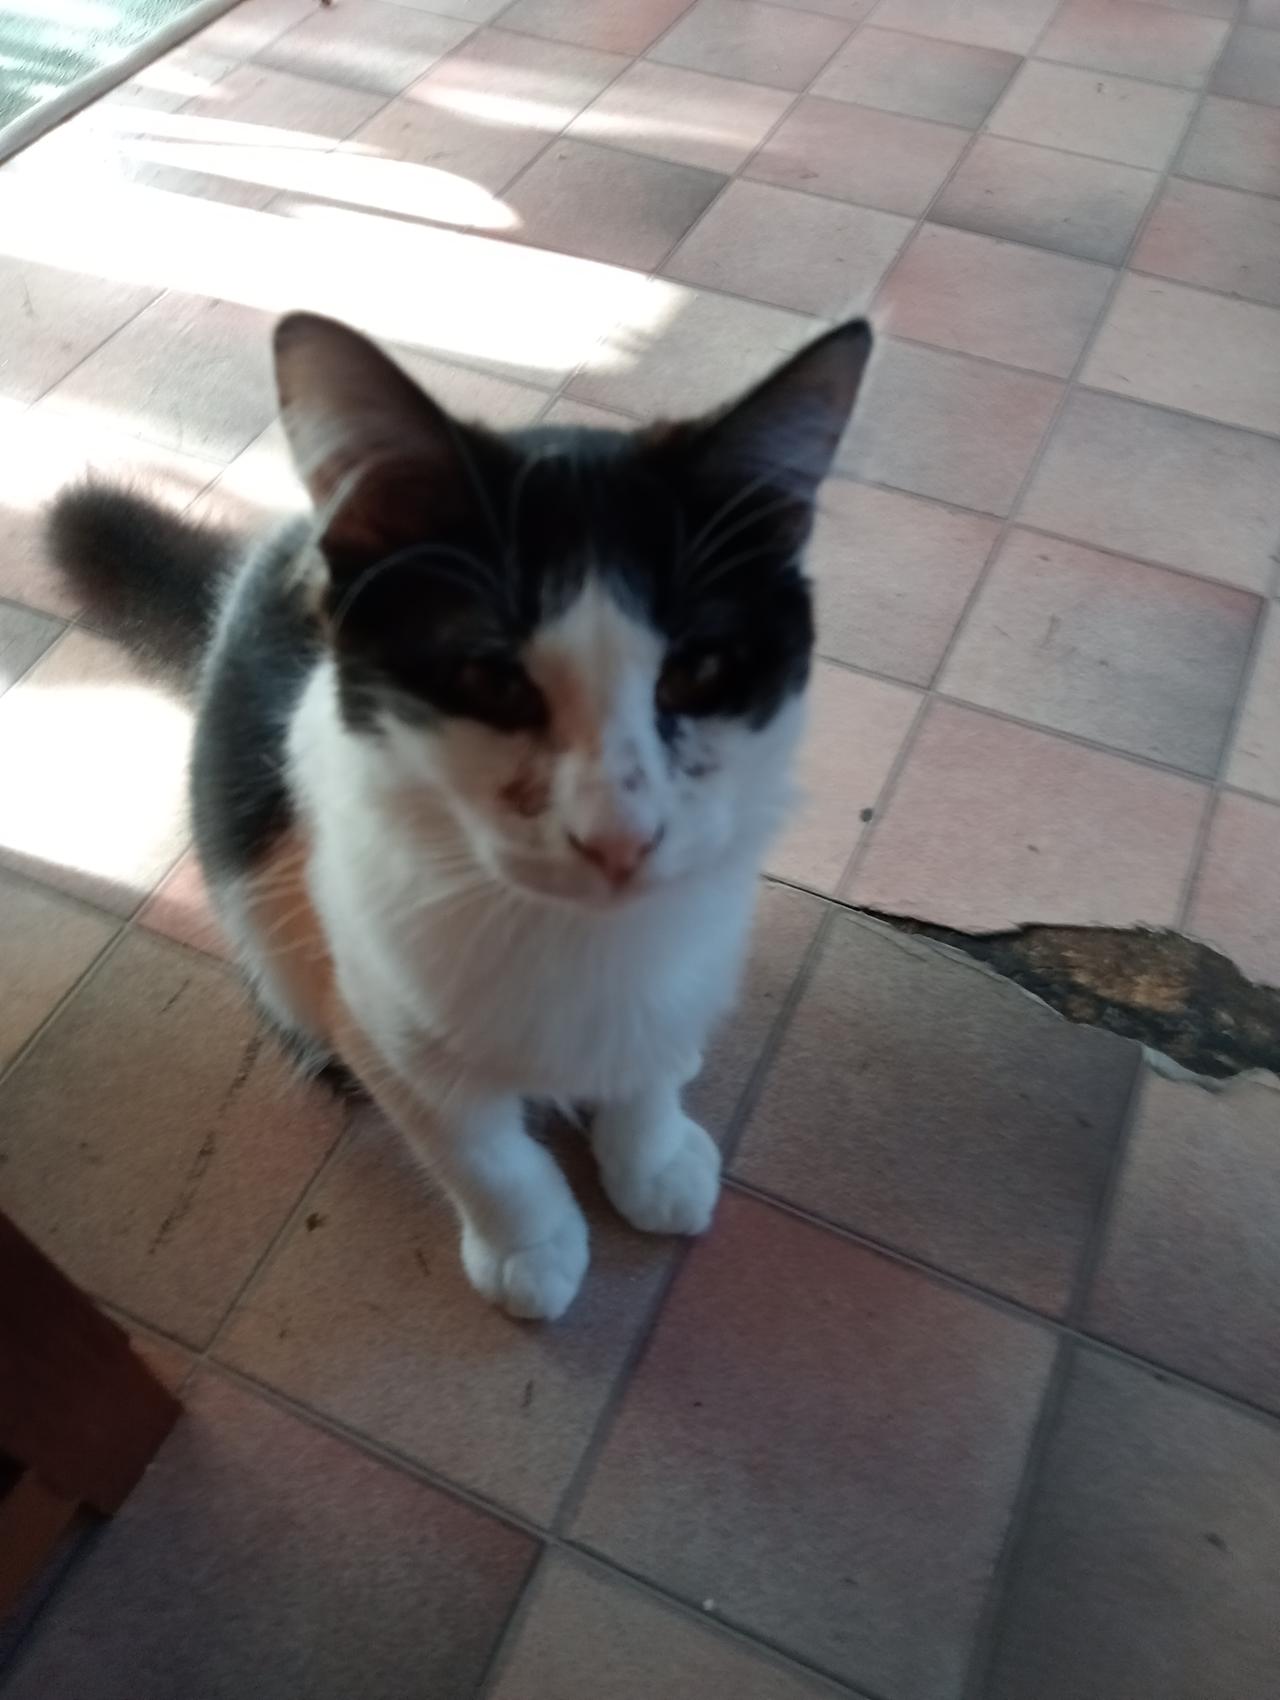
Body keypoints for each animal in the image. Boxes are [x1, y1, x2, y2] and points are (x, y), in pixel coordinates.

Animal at [48, 311, 872, 1319]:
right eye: (495, 681)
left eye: (699, 671)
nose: (619, 839)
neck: (573, 939)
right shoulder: (371, 998)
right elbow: (480, 1150)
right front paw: (532, 1246)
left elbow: (646, 1056)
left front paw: (651, 1152)